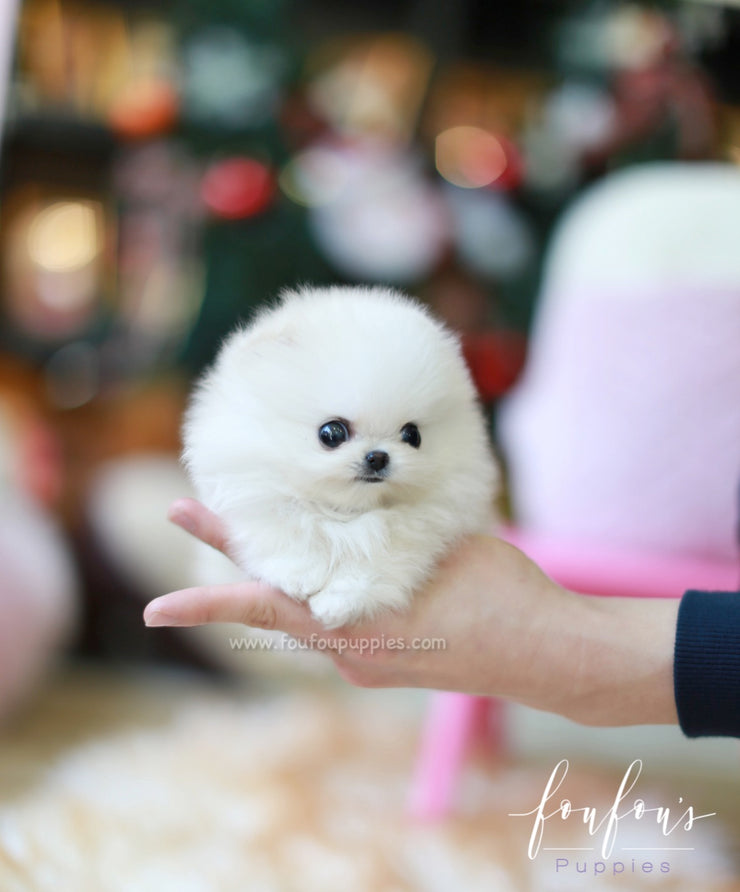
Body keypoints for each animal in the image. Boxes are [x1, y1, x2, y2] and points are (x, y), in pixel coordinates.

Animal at [183, 286, 500, 628]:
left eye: (412, 435)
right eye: (332, 433)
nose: (378, 457)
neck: (347, 512)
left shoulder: (421, 529)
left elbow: (378, 564)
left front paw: (338, 602)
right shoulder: (254, 489)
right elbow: (285, 530)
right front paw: (298, 575)